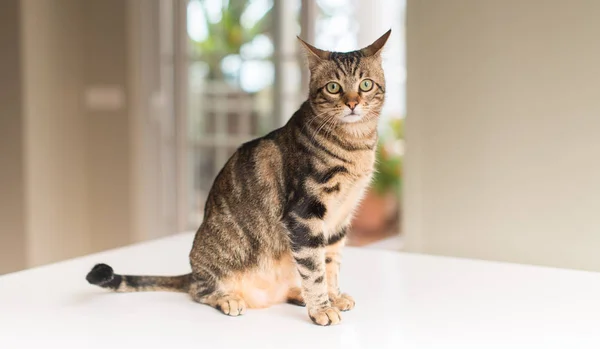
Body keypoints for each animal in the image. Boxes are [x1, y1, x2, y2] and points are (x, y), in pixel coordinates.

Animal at [86, 29, 392, 326]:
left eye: (365, 85)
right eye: (333, 87)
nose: (352, 103)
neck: (356, 145)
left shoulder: (340, 218)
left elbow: (330, 265)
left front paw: (333, 297)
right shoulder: (305, 213)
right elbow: (314, 270)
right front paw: (322, 308)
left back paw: (296, 294)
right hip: (218, 257)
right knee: (198, 289)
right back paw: (229, 298)